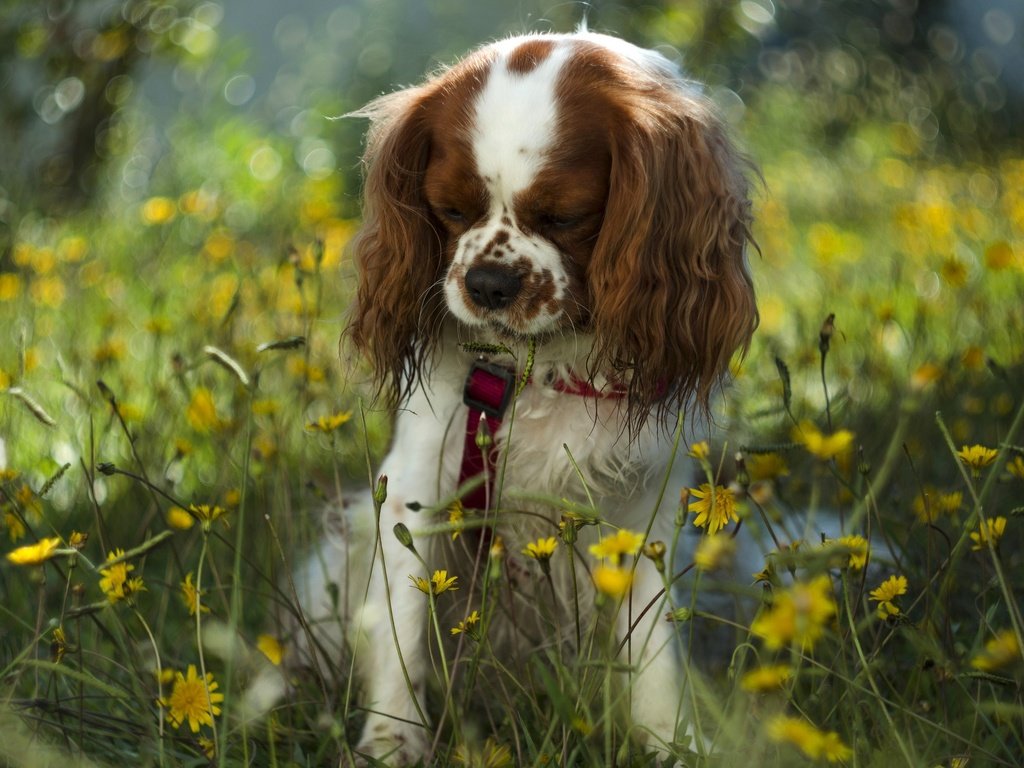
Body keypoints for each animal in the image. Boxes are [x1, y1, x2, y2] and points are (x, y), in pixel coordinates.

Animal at [276, 30, 757, 768]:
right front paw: (393, 739)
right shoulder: (415, 486)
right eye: (448, 210)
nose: (488, 282)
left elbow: (651, 646)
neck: (543, 370)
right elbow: (402, 625)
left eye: (566, 216)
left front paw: (667, 741)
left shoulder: (639, 506)